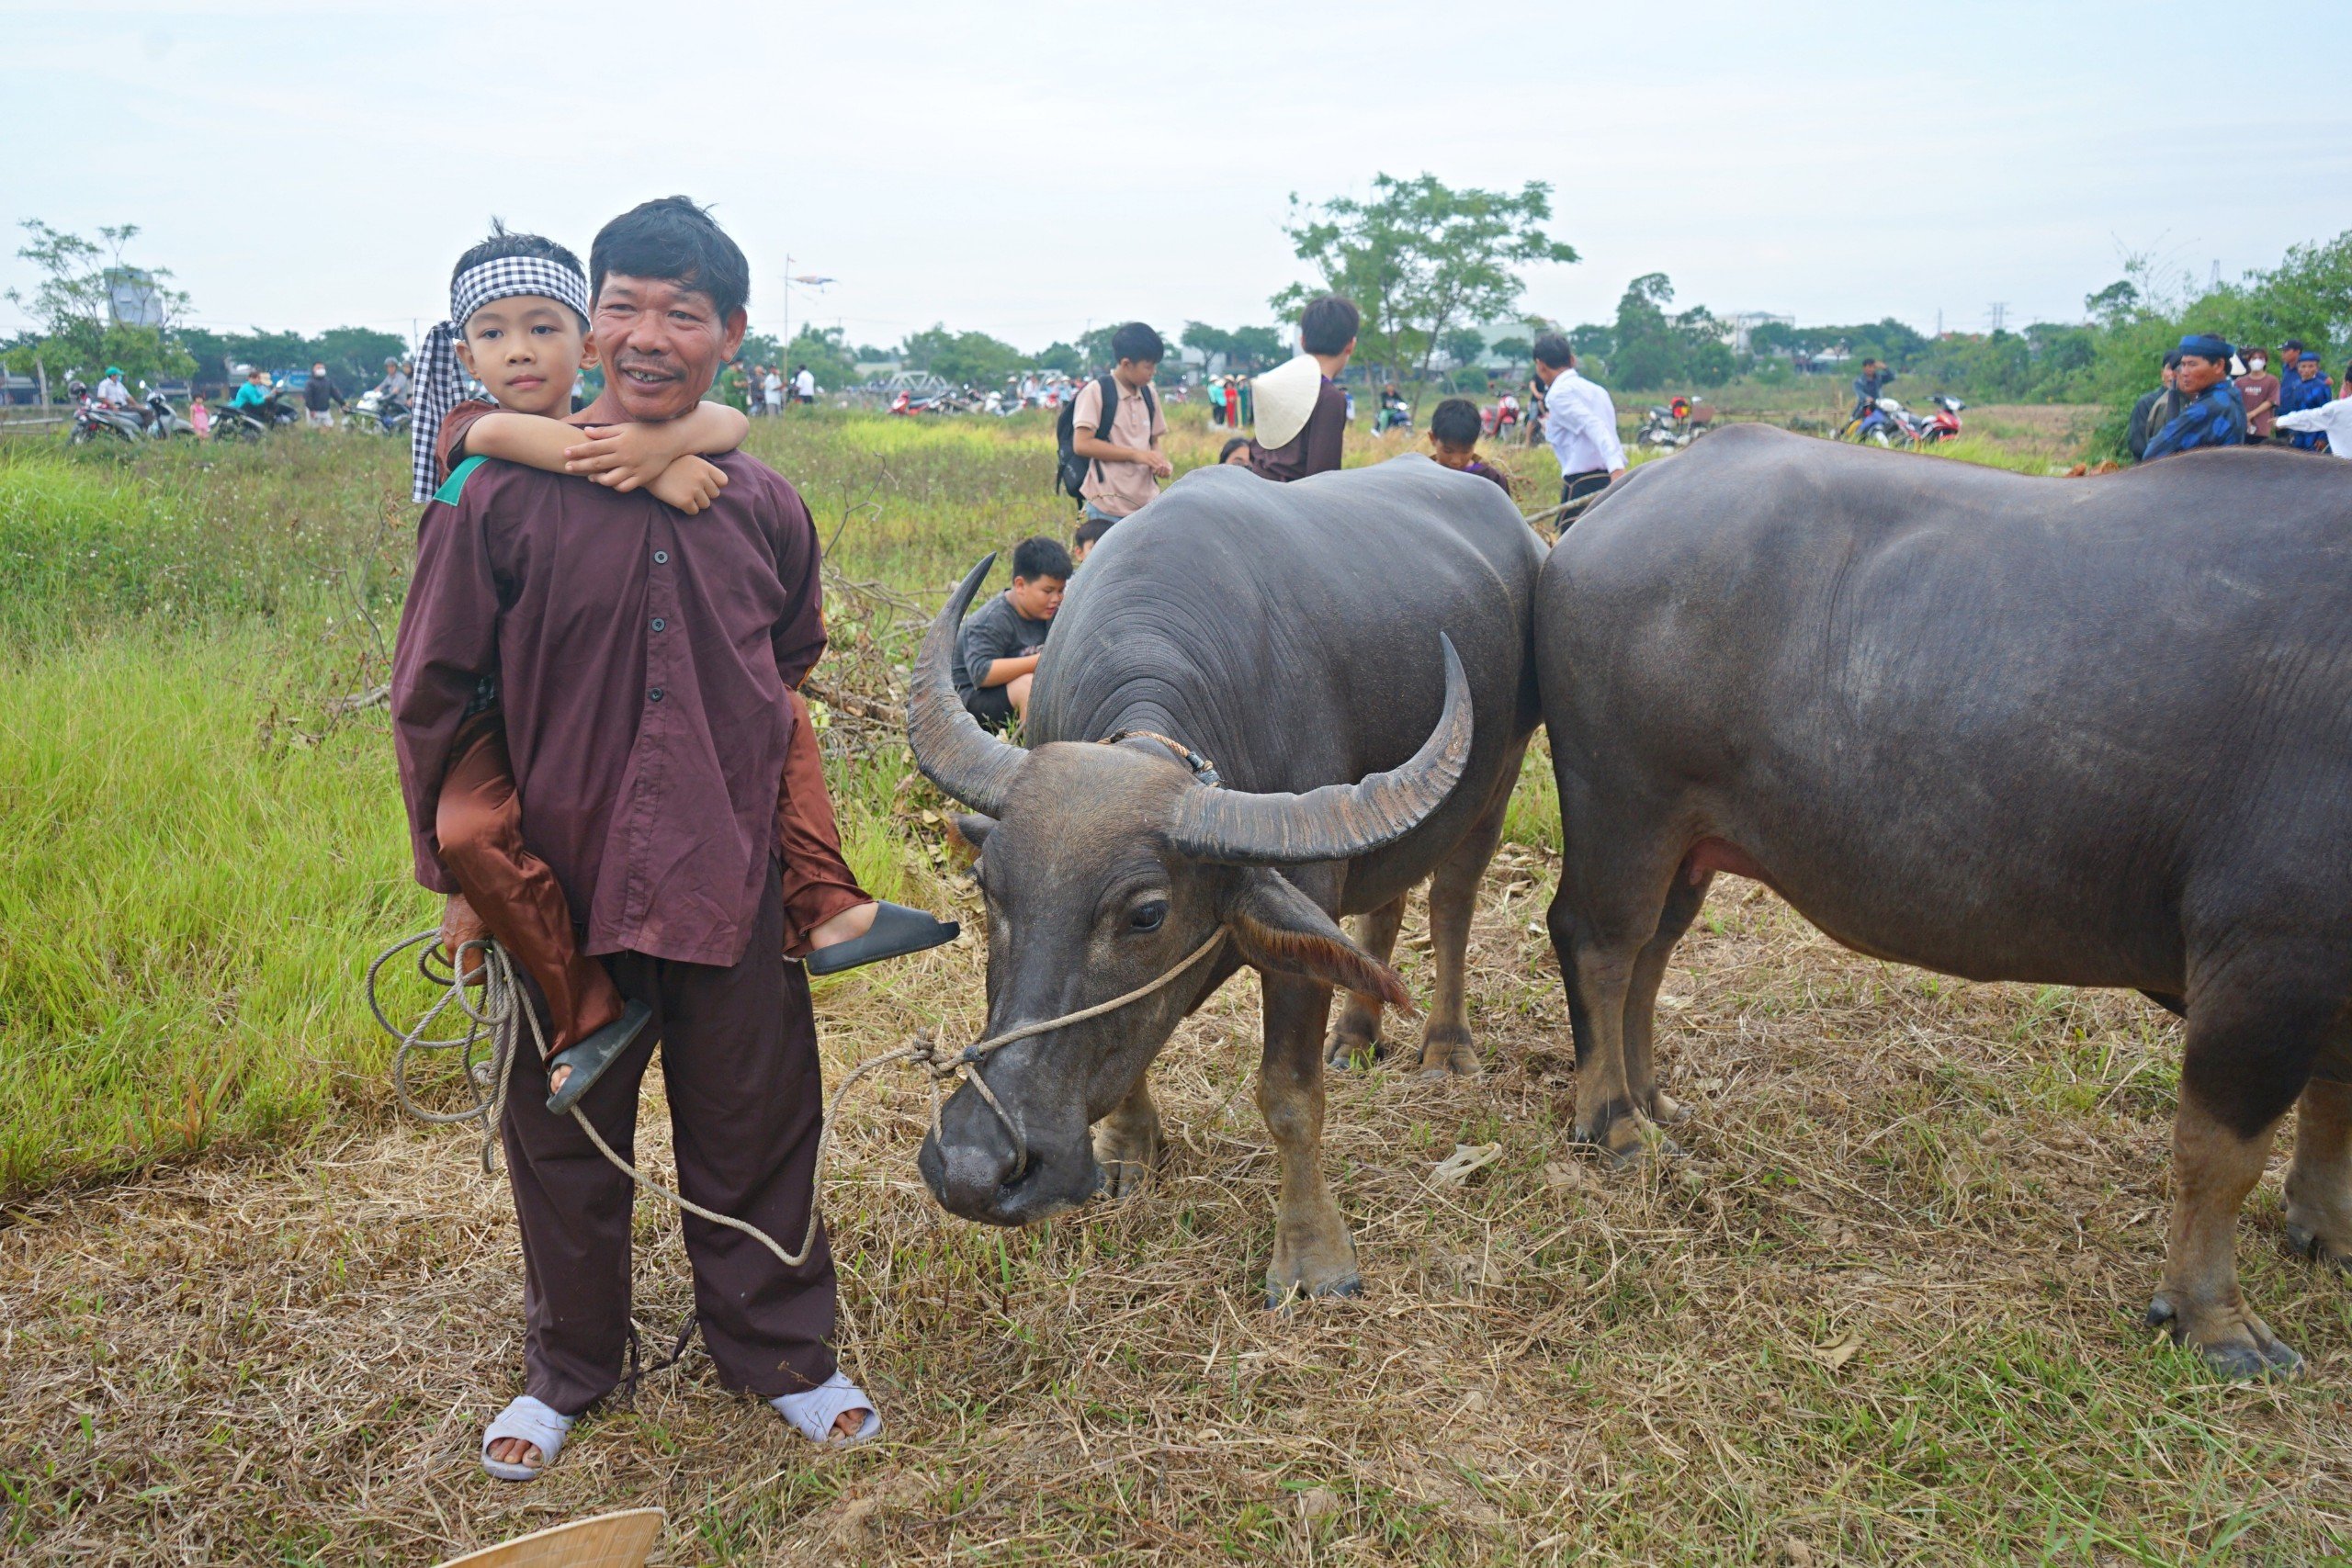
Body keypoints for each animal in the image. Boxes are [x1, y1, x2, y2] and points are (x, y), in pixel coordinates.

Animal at [908, 460, 1552, 1306]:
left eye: (1147, 913)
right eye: (989, 887)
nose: (976, 1167)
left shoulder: (1301, 910)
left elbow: (1288, 1096)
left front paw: (1313, 1259)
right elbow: (1136, 1042)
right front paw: (1126, 1149)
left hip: (1498, 778)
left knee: (1451, 904)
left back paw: (1445, 1045)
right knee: (1386, 908)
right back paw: (1357, 1036)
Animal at [1533, 425, 2352, 1372]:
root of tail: (1622, 499)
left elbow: (2335, 1111)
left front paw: (2329, 1234)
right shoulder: (2267, 960)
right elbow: (2220, 1156)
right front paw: (2215, 1320)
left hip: (1687, 844)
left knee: (1650, 957)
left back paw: (1651, 1099)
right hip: (1626, 805)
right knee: (1600, 944)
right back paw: (1614, 1124)